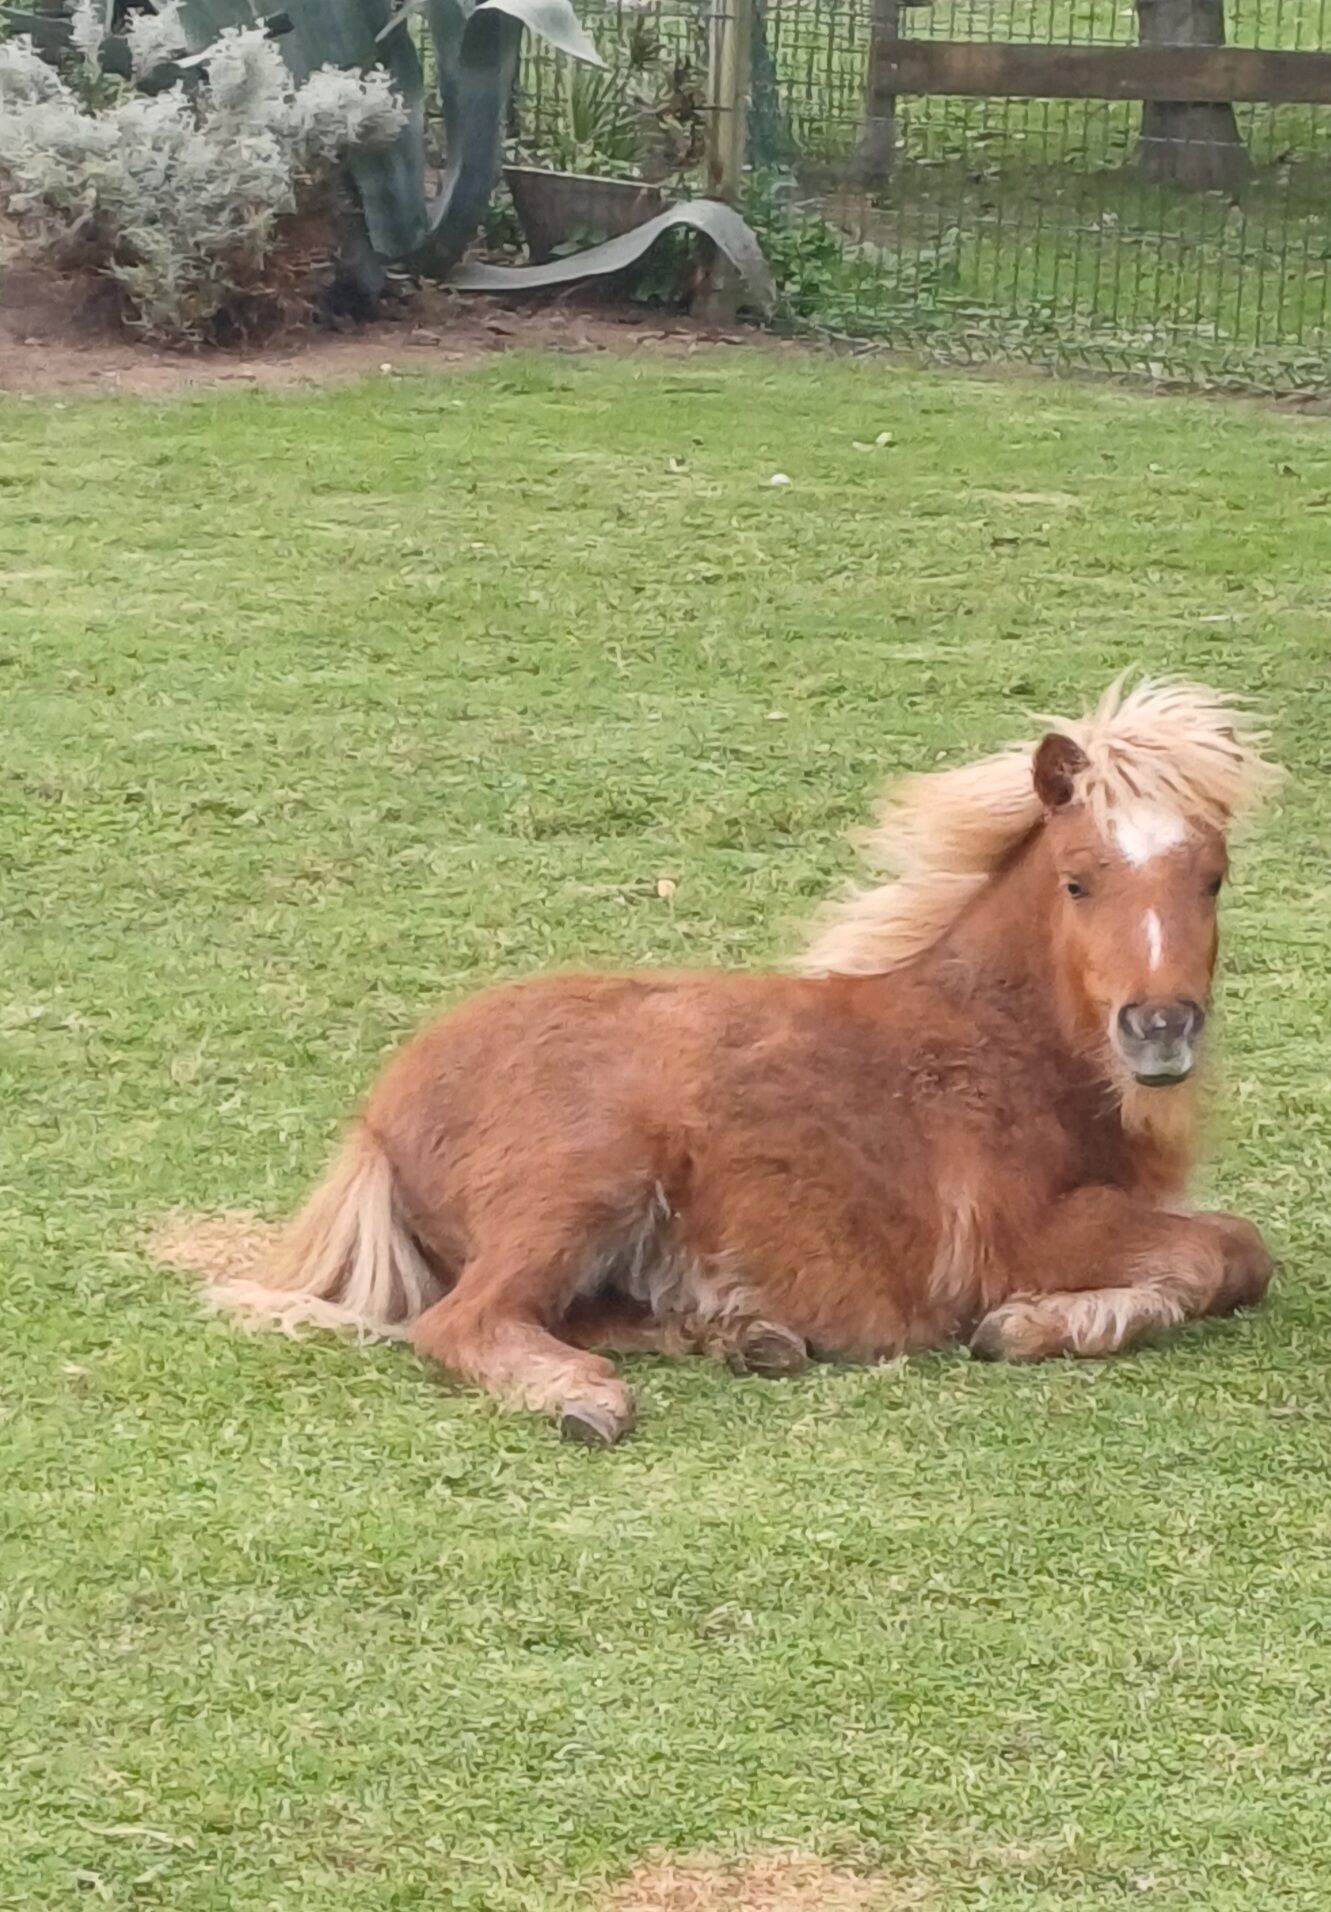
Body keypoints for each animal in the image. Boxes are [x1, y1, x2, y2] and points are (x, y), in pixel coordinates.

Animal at [204, 678, 1281, 1443]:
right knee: (464, 1322)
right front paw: (1028, 1326)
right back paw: (588, 1400)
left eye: (1212, 879)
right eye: (1077, 881)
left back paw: (747, 1337)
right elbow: (1225, 1248)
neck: (992, 1042)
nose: (1158, 1028)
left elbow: (1233, 1255)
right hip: (581, 1182)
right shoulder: (1018, 1237)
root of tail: (379, 1112)